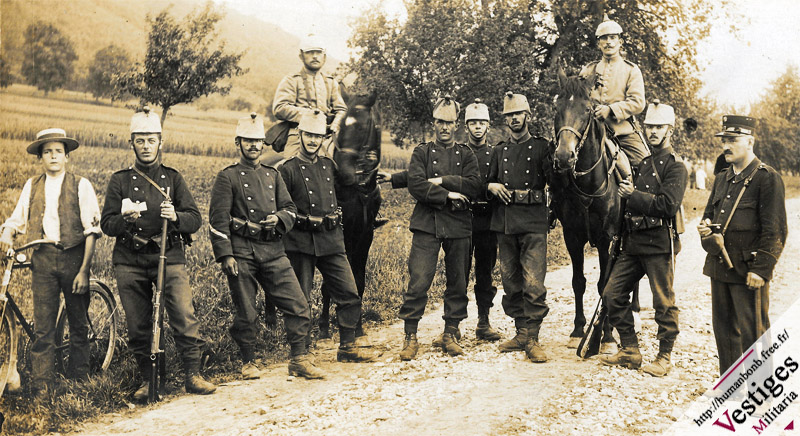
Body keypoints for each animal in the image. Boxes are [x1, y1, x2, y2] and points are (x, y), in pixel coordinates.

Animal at [318, 84, 382, 338]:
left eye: (363, 127)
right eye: (342, 126)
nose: (342, 172)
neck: (358, 190)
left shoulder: (365, 237)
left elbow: (358, 281)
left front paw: (358, 327)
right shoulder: (339, 238)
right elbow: (330, 284)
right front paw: (324, 327)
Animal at [552, 71, 624, 350]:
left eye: (587, 110)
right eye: (557, 108)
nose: (564, 156)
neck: (588, 185)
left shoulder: (607, 240)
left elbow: (605, 284)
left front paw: (606, 335)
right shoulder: (572, 237)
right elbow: (578, 282)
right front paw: (578, 329)